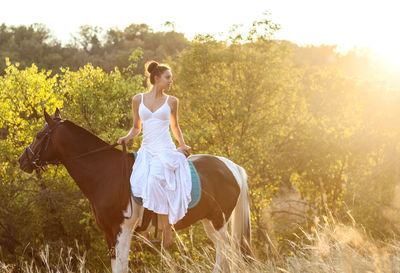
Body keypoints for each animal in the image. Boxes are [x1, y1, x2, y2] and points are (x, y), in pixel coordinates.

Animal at [18, 107, 252, 270]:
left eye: (38, 135)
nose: (22, 160)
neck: (106, 172)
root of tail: (230, 166)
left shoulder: (122, 229)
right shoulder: (109, 232)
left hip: (219, 221)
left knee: (226, 252)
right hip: (210, 223)